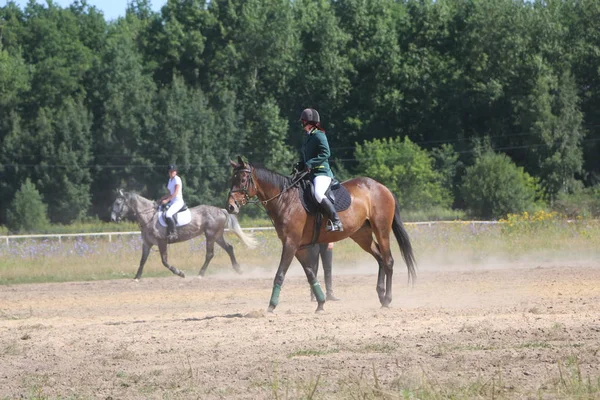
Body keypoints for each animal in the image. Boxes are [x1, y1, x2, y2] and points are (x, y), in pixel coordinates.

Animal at [111, 190, 256, 278]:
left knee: (209, 254)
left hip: (210, 235)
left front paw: (180, 273)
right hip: (217, 235)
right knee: (229, 248)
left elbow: (164, 261)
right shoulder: (147, 243)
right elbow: (142, 260)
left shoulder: (162, 242)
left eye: (118, 203)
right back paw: (238, 269)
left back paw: (200, 274)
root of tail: (221, 210)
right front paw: (137, 277)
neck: (149, 217)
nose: (112, 218)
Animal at [226, 156, 418, 312]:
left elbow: (280, 273)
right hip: (361, 235)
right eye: (232, 179)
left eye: (243, 179)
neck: (285, 200)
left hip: (381, 230)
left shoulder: (290, 243)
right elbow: (310, 273)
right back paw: (381, 294)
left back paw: (387, 299)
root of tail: (381, 187)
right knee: (379, 258)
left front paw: (272, 305)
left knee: (388, 260)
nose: (230, 207)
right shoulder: (298, 247)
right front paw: (320, 303)